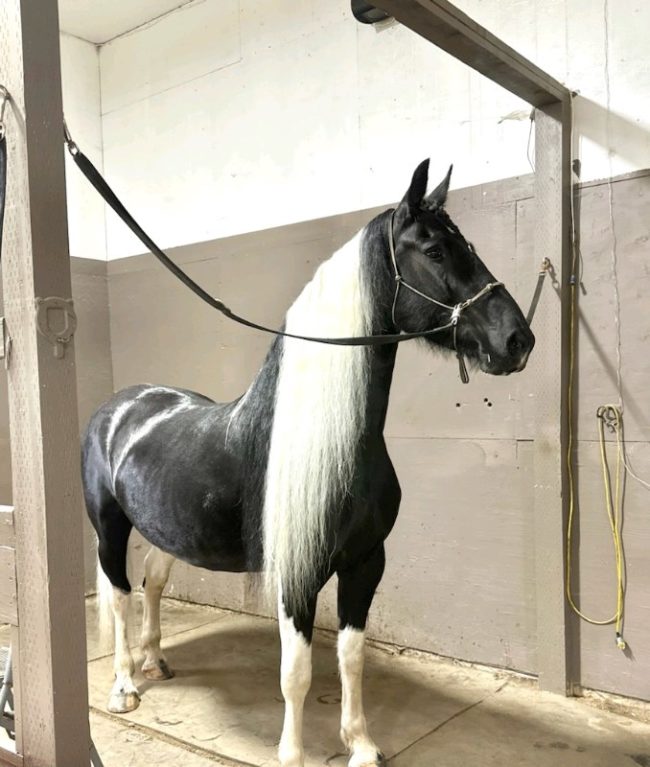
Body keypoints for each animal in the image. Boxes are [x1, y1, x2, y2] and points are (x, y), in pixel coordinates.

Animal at [82, 159, 534, 767]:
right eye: (435, 250)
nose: (518, 339)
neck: (338, 442)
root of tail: (120, 407)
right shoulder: (297, 575)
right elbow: (295, 673)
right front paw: (292, 754)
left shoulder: (366, 562)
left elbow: (350, 657)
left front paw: (361, 744)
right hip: (110, 527)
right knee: (120, 596)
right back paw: (125, 686)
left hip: (164, 528)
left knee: (152, 581)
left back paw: (155, 662)